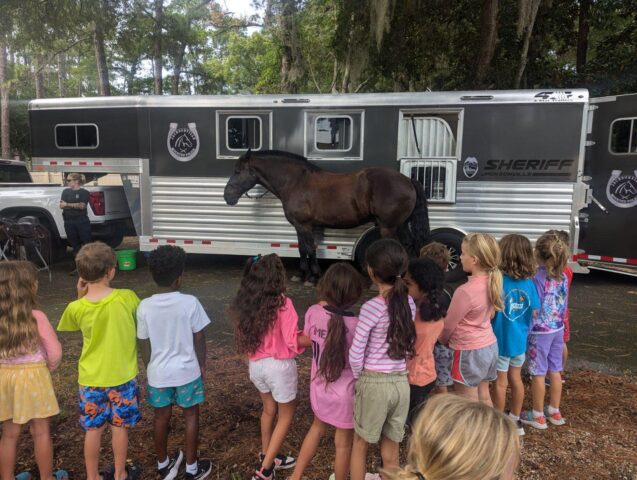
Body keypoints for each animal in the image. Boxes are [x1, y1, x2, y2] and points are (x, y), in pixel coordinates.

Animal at [222, 152, 428, 284]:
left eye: (238, 171)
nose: (227, 196)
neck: (295, 182)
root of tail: (408, 180)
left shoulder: (305, 225)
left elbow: (310, 248)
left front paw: (313, 277)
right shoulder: (299, 226)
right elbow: (302, 248)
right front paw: (301, 274)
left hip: (388, 227)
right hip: (401, 225)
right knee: (408, 247)